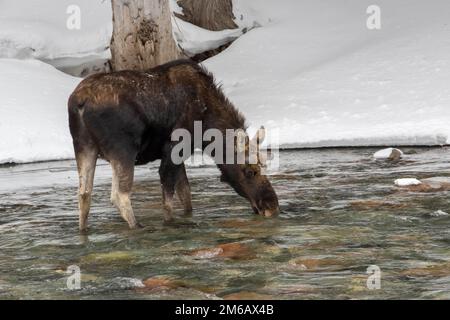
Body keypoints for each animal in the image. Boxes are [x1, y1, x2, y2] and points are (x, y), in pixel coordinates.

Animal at [67, 58, 278, 231]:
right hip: (123, 149)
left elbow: (185, 195)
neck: (207, 122)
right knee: (119, 195)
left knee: (84, 194)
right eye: (250, 171)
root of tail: (79, 102)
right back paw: (137, 226)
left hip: (83, 147)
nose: (272, 205)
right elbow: (168, 200)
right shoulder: (174, 148)